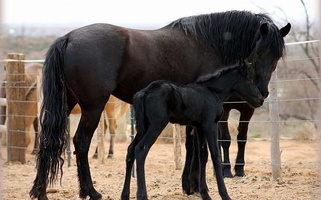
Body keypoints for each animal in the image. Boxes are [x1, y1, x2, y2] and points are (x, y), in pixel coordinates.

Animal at [120, 61, 262, 200]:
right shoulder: (210, 125)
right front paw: (225, 195)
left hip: (143, 127)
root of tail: (143, 93)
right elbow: (215, 155)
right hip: (156, 125)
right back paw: (142, 195)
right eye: (250, 79)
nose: (260, 99)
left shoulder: (198, 127)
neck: (213, 92)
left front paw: (205, 194)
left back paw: (125, 195)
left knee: (131, 150)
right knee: (141, 149)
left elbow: (203, 155)